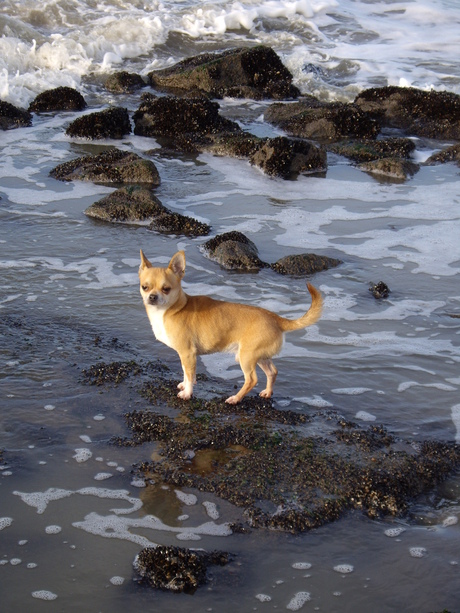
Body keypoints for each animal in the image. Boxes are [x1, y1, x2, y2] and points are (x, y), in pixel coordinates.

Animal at [138, 249, 322, 402]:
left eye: (166, 289)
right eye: (144, 287)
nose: (152, 297)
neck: (173, 308)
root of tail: (276, 319)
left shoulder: (187, 353)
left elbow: (190, 375)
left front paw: (187, 393)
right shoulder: (185, 355)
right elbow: (186, 372)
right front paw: (184, 385)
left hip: (246, 357)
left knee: (252, 380)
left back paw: (235, 398)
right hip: (260, 356)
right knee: (272, 372)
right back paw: (268, 392)